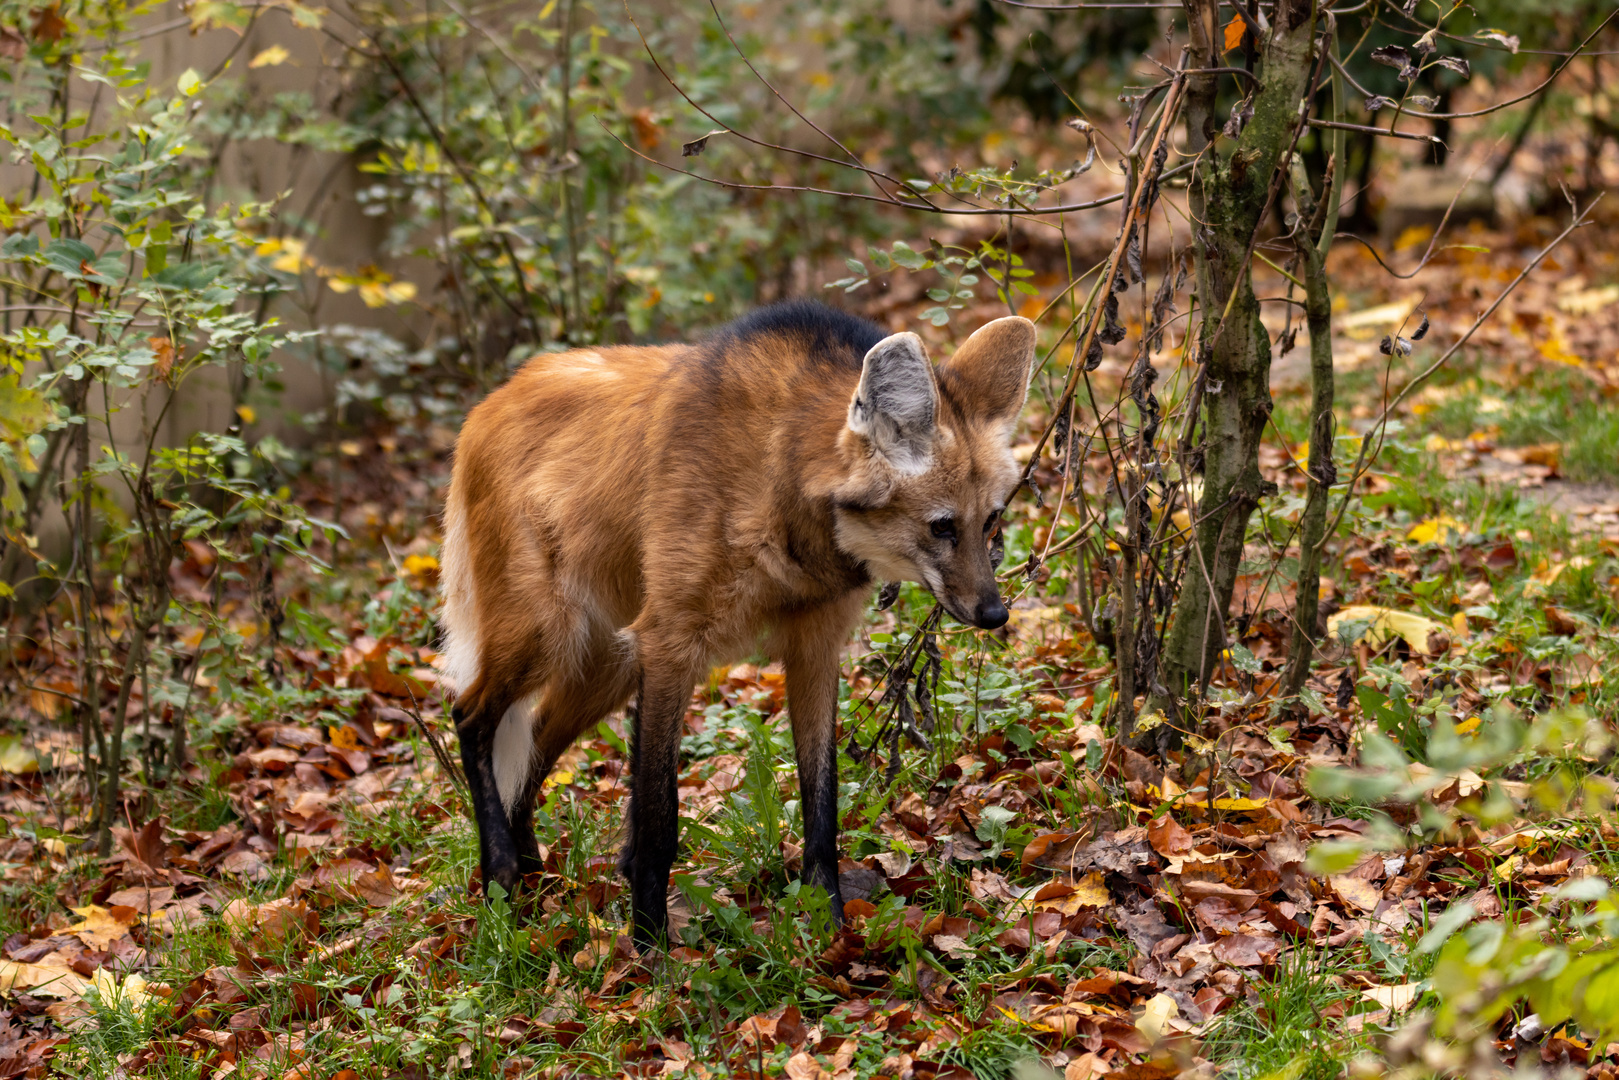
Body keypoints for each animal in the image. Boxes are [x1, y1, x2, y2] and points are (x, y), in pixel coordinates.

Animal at [437, 299, 1029, 939]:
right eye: (941, 527)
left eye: (991, 519)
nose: (995, 613)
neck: (782, 484)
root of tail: (491, 402)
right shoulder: (670, 642)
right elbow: (658, 818)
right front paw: (649, 946)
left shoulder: (814, 642)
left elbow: (822, 799)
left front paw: (829, 925)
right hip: (549, 632)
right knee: (470, 715)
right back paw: (501, 875)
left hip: (607, 661)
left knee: (537, 735)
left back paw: (533, 871)